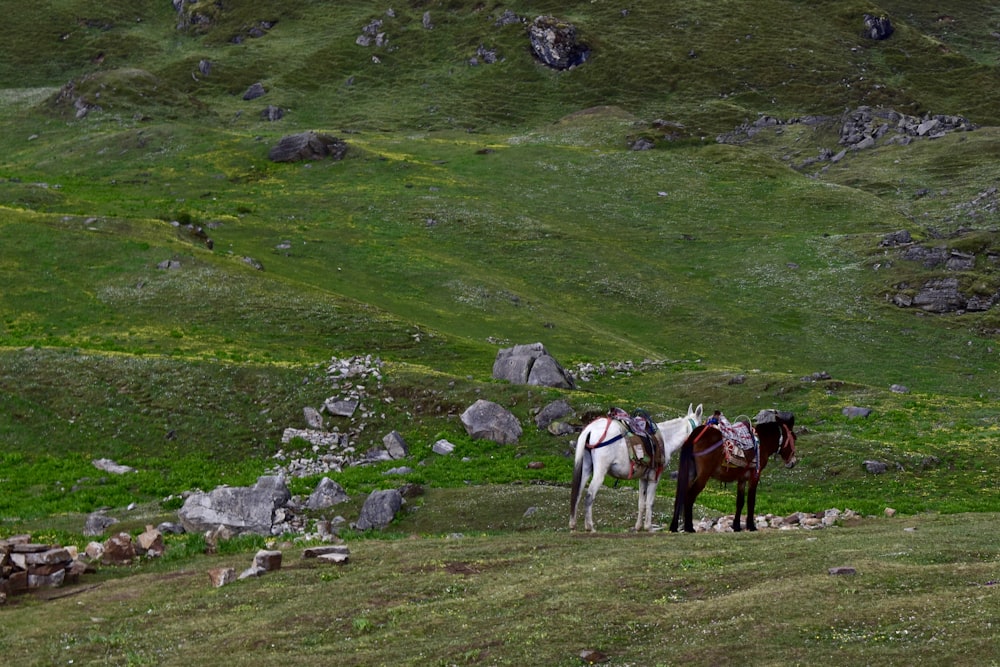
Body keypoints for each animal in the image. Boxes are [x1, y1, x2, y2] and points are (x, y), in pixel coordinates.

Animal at [572, 404, 704, 536]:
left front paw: (638, 527)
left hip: (586, 469)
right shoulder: (654, 477)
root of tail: (590, 429)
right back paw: (590, 527)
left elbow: (641, 503)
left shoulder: (643, 478)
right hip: (600, 472)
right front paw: (648, 527)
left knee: (577, 492)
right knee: (589, 496)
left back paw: (573, 524)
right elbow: (650, 502)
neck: (666, 439)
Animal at [668, 410, 800, 536]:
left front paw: (736, 526)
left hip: (690, 473)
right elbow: (751, 501)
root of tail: (695, 434)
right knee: (689, 496)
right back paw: (689, 527)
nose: (793, 462)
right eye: (794, 437)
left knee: (680, 496)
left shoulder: (742, 479)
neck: (762, 442)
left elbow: (740, 502)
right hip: (703, 475)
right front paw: (751, 526)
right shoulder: (754, 476)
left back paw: (675, 527)